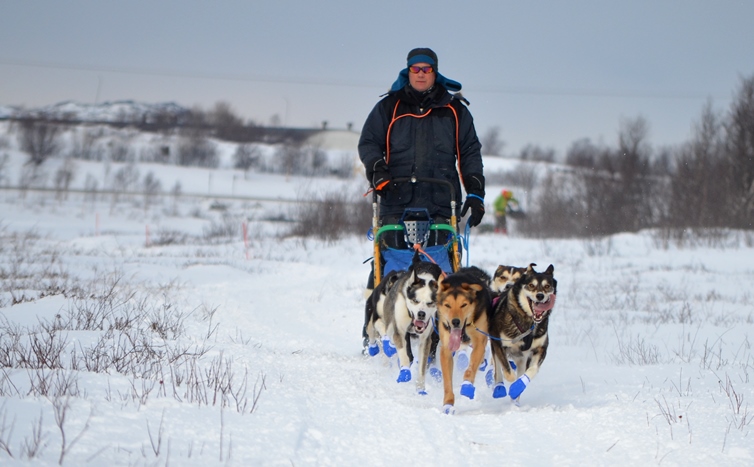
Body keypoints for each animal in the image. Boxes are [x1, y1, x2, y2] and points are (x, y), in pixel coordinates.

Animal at [381, 256, 443, 394]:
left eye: (430, 303)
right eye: (415, 301)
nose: (421, 314)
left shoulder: (426, 339)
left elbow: (422, 366)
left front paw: (420, 388)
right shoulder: (400, 331)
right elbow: (404, 355)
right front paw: (404, 373)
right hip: (390, 323)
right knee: (388, 338)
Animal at [436, 268, 492, 413]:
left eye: (464, 305)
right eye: (447, 305)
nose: (455, 322)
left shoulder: (479, 342)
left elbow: (470, 369)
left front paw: (467, 386)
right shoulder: (446, 348)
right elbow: (447, 382)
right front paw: (448, 404)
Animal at [488, 263, 557, 402]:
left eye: (547, 286)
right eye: (531, 285)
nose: (540, 296)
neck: (528, 323)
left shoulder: (540, 348)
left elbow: (532, 370)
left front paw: (518, 386)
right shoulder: (499, 343)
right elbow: (507, 370)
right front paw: (510, 382)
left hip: (522, 358)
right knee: (498, 368)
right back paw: (499, 387)